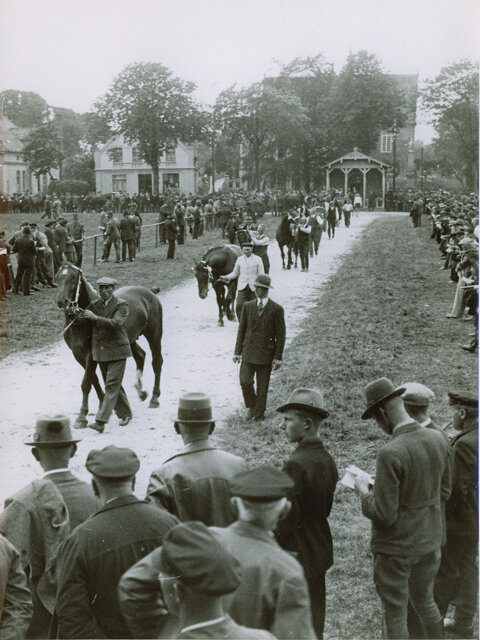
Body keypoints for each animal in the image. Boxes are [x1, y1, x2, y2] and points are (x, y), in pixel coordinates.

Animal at [56, 262, 163, 427]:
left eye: (73, 277)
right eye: (57, 277)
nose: (62, 302)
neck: (80, 321)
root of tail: (149, 292)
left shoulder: (90, 355)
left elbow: (86, 383)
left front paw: (82, 417)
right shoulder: (78, 355)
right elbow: (93, 380)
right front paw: (102, 405)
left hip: (154, 336)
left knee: (157, 361)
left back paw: (154, 398)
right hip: (130, 340)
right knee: (140, 356)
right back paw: (140, 391)